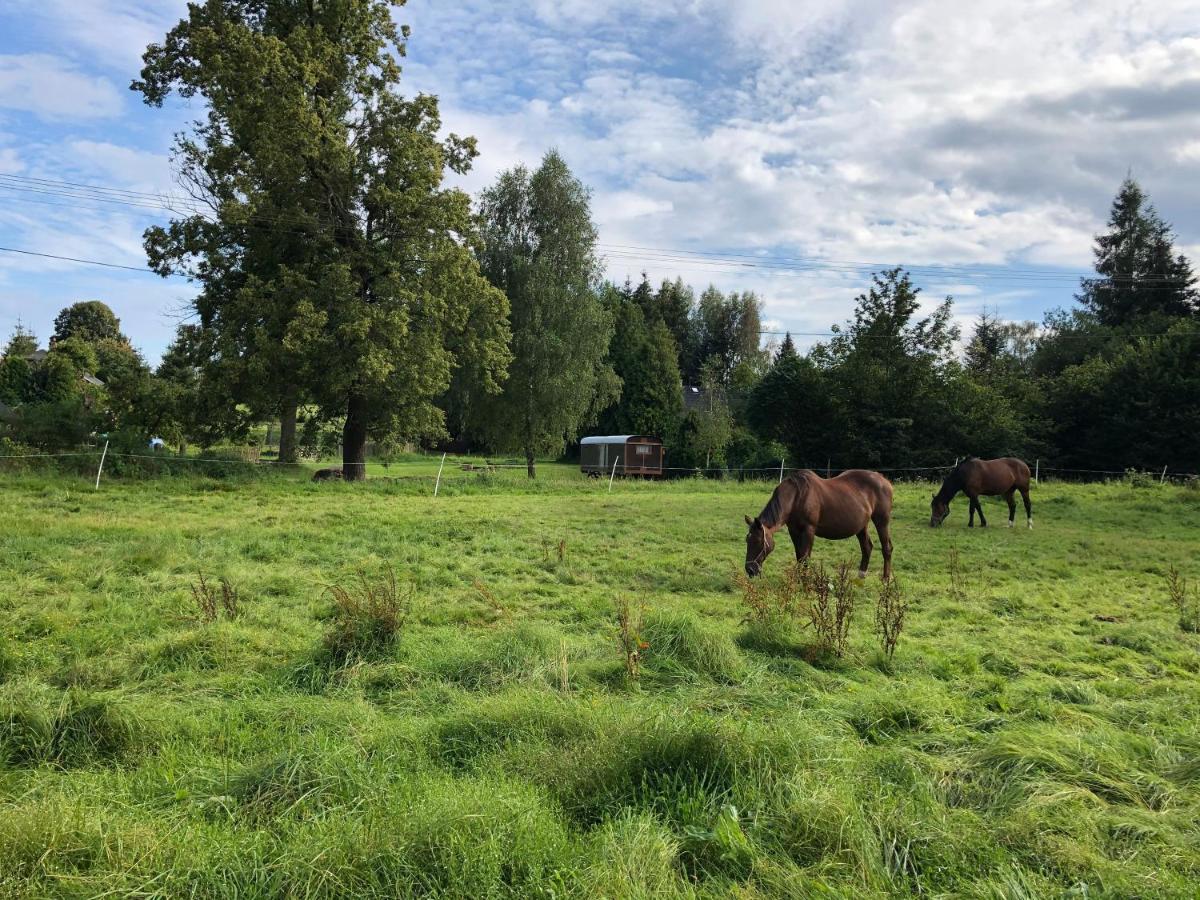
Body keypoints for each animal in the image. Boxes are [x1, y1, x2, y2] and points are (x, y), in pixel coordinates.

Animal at [739, 468, 892, 580]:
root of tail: (884, 480)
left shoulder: (809, 530)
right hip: (861, 526)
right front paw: (799, 579)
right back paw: (861, 576)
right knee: (867, 547)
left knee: (887, 548)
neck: (797, 496)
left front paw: (805, 581)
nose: (750, 570)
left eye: (759, 541)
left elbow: (805, 557)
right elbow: (799, 556)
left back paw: (885, 579)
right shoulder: (794, 530)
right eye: (747, 540)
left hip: (881, 521)